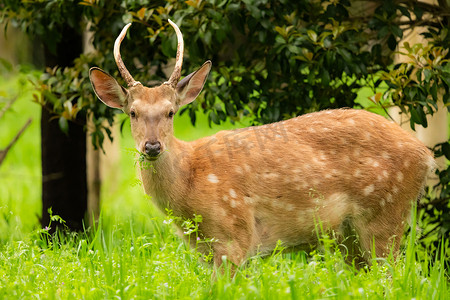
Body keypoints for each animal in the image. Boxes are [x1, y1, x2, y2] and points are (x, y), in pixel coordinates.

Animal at [89, 19, 436, 270]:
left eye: (170, 112)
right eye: (132, 112)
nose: (152, 147)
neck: (189, 180)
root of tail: (426, 155)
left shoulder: (234, 233)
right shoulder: (207, 249)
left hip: (385, 213)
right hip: (350, 235)